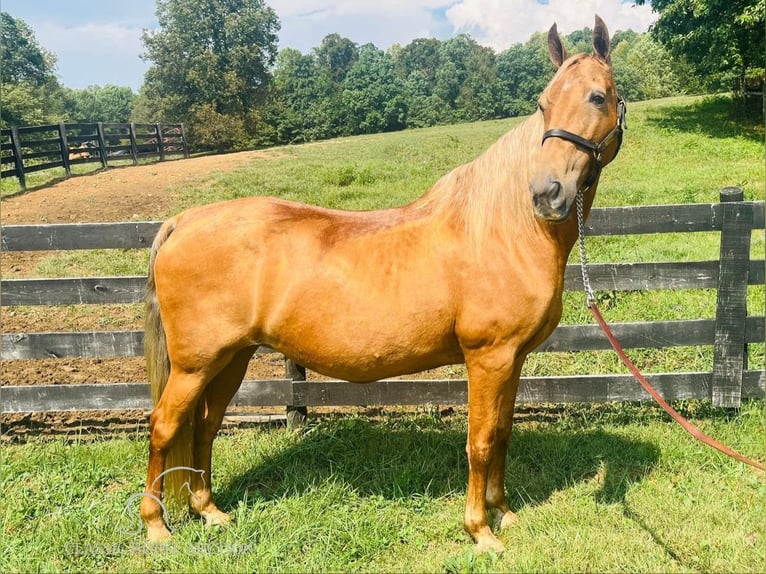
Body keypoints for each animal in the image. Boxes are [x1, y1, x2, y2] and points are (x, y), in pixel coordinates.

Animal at [141, 16, 628, 552]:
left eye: (598, 97)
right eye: (543, 103)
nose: (547, 193)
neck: (506, 228)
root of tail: (183, 221)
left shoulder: (511, 359)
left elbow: (501, 433)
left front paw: (504, 512)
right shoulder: (488, 358)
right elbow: (479, 441)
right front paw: (480, 531)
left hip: (231, 358)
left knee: (205, 426)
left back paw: (208, 511)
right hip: (195, 365)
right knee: (164, 426)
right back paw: (156, 526)